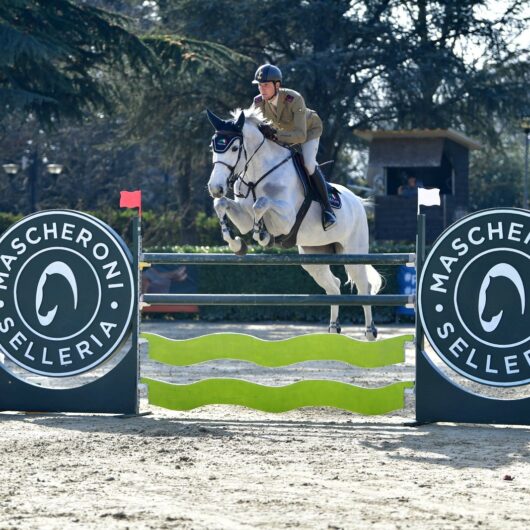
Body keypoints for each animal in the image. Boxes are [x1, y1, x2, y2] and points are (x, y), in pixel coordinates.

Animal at [205, 107, 380, 338]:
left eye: (234, 148)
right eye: (213, 147)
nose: (215, 187)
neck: (256, 175)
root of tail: (358, 201)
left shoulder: (286, 219)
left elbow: (261, 204)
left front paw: (262, 235)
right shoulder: (243, 218)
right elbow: (221, 205)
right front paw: (235, 243)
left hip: (353, 253)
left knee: (363, 286)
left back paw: (369, 331)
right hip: (313, 256)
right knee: (333, 286)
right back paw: (333, 330)